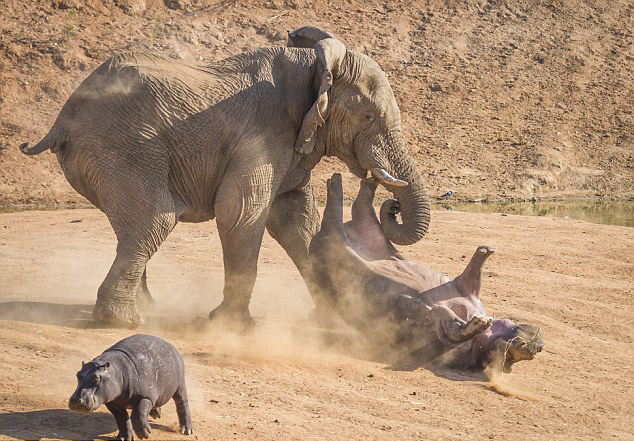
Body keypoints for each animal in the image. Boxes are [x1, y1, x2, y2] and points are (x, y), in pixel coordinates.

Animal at [19, 24, 430, 326]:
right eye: (369, 116)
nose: (388, 200)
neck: (315, 65)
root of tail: (61, 119)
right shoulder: (263, 132)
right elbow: (241, 212)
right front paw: (234, 326)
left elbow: (296, 219)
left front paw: (332, 318)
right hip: (122, 148)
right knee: (155, 220)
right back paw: (123, 322)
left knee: (137, 226)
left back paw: (146, 310)